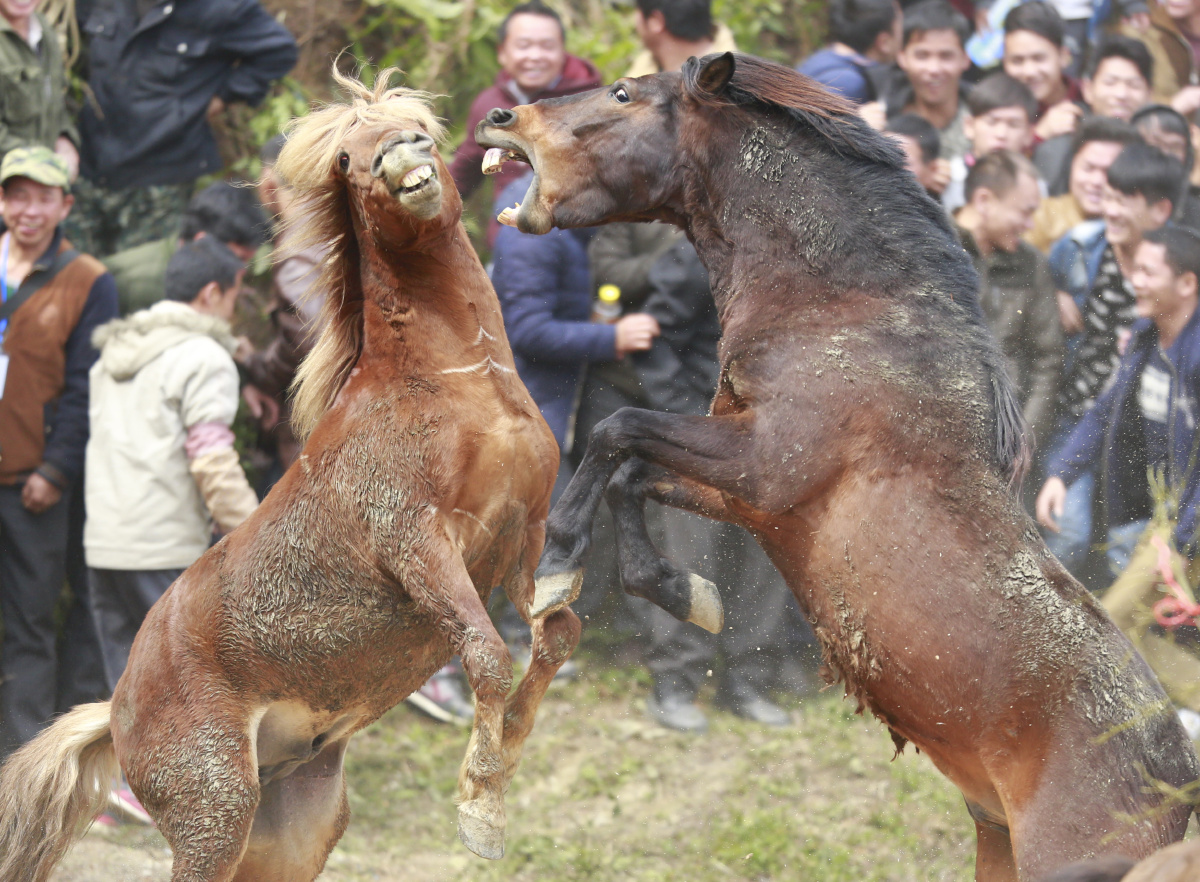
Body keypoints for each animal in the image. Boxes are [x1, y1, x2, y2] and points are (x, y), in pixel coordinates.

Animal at [0, 68, 576, 882]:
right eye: (347, 158)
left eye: (419, 129)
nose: (402, 159)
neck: (452, 384)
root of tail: (114, 708)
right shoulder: (417, 544)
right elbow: (490, 658)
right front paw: (480, 811)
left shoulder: (520, 535)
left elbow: (555, 633)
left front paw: (500, 774)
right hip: (214, 815)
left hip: (291, 832)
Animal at [476, 52, 1200, 881]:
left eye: (625, 93)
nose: (500, 119)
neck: (842, 313)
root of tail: (1176, 791)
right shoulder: (749, 497)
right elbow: (630, 474)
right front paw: (685, 592)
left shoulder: (764, 464)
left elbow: (613, 431)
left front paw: (558, 566)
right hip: (997, 841)